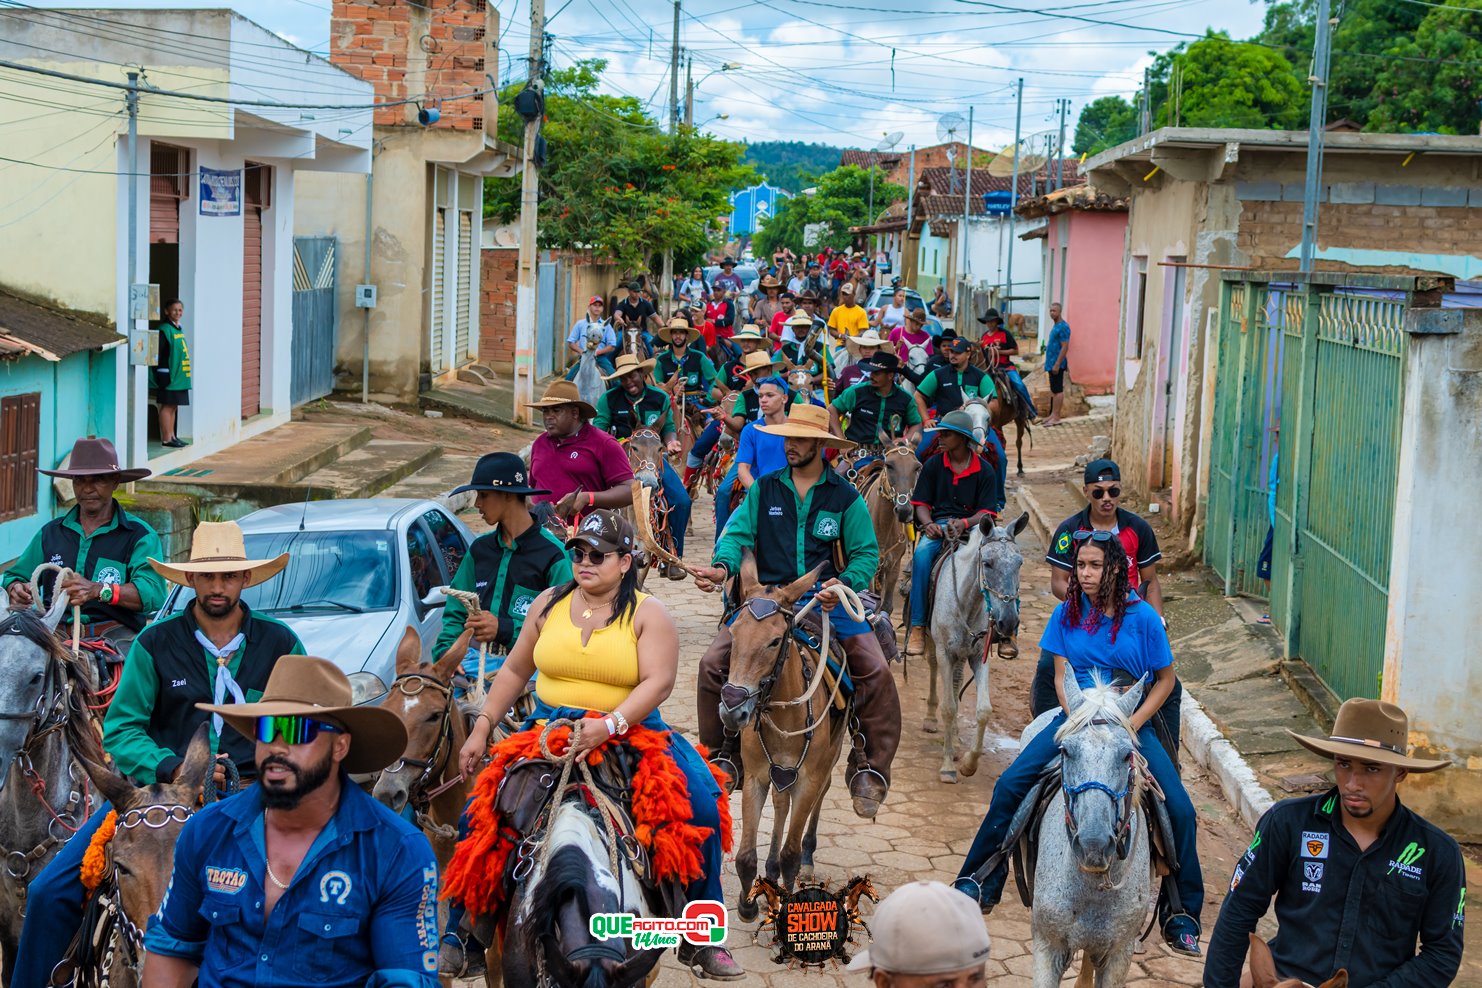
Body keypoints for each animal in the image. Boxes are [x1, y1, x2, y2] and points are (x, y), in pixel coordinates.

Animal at [721, 554, 848, 919]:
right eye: (733, 633)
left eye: (775, 641)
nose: (732, 708)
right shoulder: (756, 776)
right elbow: (745, 857)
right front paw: (747, 903)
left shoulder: (807, 778)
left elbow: (790, 852)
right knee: (781, 803)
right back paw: (771, 869)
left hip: (830, 759)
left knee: (821, 794)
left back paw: (806, 858)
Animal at [923, 513, 1027, 784]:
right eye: (987, 563)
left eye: (1019, 563)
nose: (1008, 622)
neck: (968, 602)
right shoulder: (945, 653)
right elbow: (948, 708)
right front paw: (948, 766)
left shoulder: (979, 656)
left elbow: (984, 711)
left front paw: (969, 763)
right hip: (934, 644)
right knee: (933, 669)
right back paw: (931, 719)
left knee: (957, 682)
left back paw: (957, 740)